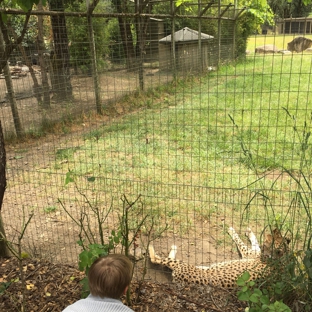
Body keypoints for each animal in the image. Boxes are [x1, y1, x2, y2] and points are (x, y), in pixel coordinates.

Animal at [149, 227, 290, 288]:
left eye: (268, 241)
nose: (272, 230)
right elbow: (254, 242)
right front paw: (249, 231)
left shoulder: (249, 254)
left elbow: (241, 242)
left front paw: (232, 230)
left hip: (183, 265)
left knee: (155, 259)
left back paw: (152, 246)